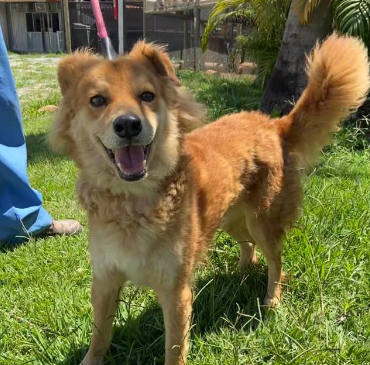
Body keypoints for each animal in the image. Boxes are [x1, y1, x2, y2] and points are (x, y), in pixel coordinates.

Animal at [50, 32, 370, 362]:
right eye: (97, 101)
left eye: (147, 96)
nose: (128, 124)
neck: (132, 203)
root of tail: (274, 124)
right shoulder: (104, 280)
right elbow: (99, 335)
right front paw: (90, 359)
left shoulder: (176, 291)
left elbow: (175, 348)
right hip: (229, 219)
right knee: (249, 246)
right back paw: (242, 271)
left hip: (263, 220)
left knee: (276, 260)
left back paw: (271, 299)